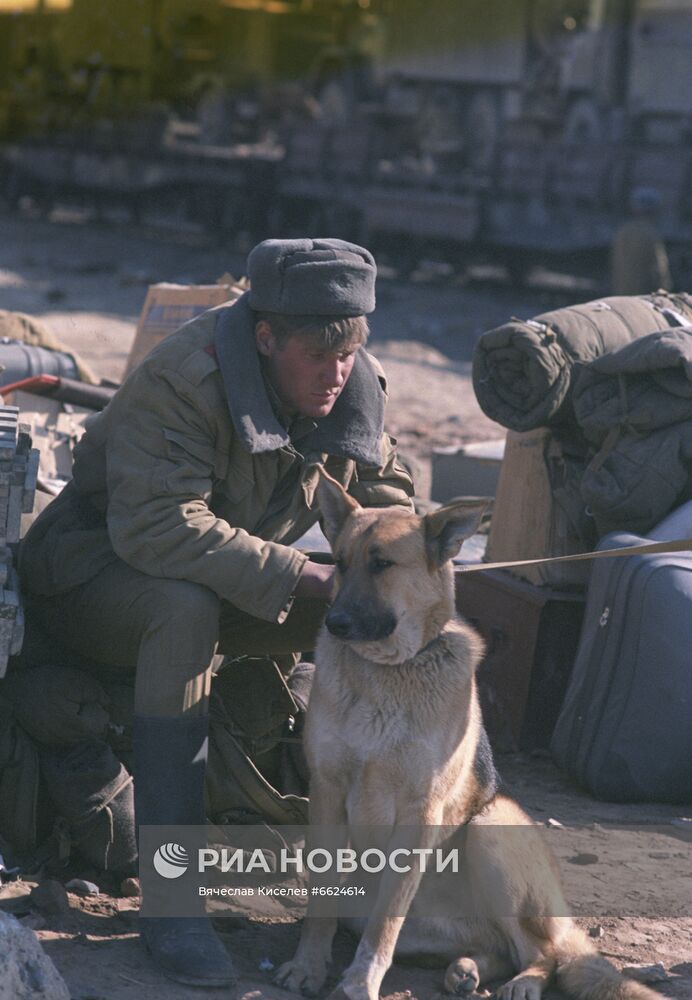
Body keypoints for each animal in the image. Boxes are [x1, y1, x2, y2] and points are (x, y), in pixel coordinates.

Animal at [276, 472, 660, 1000]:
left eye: (382, 564)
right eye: (339, 562)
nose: (334, 623)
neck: (390, 670)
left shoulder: (420, 811)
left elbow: (384, 923)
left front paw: (358, 983)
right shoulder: (328, 791)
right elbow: (321, 904)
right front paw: (307, 967)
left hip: (489, 830)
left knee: (543, 953)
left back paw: (522, 982)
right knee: (497, 946)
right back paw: (467, 969)